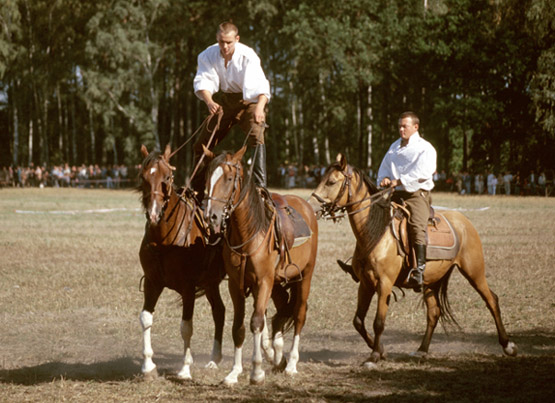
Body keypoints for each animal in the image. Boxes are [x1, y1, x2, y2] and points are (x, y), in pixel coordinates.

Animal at [138, 146, 226, 382]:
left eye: (167, 177)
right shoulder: (152, 283)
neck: (164, 240)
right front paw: (148, 366)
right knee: (220, 312)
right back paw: (214, 359)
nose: (153, 214)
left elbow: (186, 327)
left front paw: (185, 368)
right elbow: (146, 318)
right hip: (211, 283)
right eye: (143, 177)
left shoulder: (188, 288)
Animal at [204, 147, 320, 386]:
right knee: (281, 311)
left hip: (305, 275)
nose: (212, 217)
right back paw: (278, 355)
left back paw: (291, 364)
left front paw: (256, 372)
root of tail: (307, 208)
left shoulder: (263, 281)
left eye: (229, 178)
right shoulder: (236, 286)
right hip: (277, 283)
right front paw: (234, 372)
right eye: (207, 178)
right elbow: (238, 327)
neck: (250, 233)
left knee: (299, 314)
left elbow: (256, 321)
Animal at [310, 154, 520, 366]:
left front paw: (375, 355)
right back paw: (421, 350)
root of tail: (464, 221)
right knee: (434, 313)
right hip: (431, 281)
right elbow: (358, 321)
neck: (376, 232)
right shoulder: (366, 284)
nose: (312, 206)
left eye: (331, 182)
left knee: (491, 300)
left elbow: (378, 322)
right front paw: (381, 350)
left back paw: (508, 345)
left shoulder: (384, 284)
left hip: (474, 271)